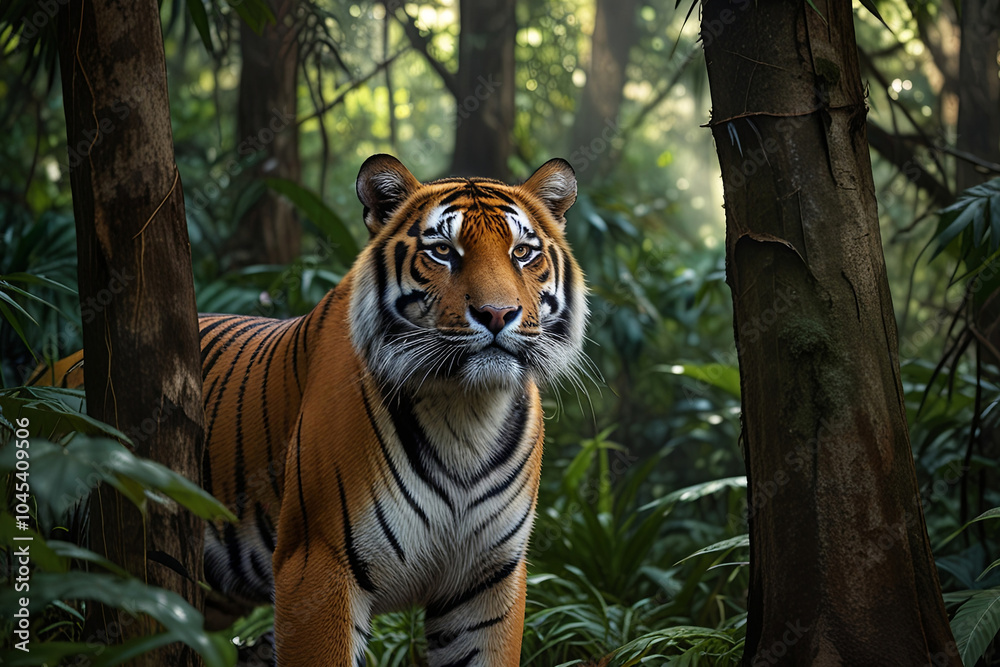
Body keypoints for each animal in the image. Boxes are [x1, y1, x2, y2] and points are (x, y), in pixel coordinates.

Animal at [28, 154, 588, 666]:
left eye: (522, 252)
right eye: (443, 251)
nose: (497, 314)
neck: (467, 408)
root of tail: (51, 369)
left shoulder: (488, 582)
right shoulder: (318, 565)